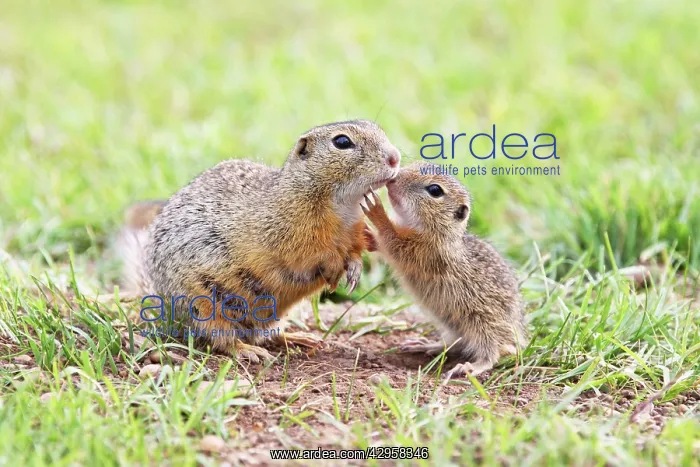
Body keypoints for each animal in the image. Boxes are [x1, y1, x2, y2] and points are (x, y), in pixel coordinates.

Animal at [116, 120, 400, 363]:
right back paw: (247, 350)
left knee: (267, 334)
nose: (395, 157)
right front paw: (333, 268)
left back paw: (297, 338)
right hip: (204, 305)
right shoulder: (287, 232)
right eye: (342, 142)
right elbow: (310, 254)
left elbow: (353, 250)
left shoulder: (354, 232)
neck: (343, 206)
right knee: (221, 340)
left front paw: (354, 269)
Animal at [361, 162, 527, 378]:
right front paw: (368, 237)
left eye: (435, 190)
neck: (442, 234)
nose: (393, 179)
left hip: (484, 324)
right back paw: (428, 345)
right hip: (453, 325)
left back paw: (471, 366)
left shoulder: (425, 252)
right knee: (457, 343)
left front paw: (376, 211)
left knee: (493, 352)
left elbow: (392, 240)